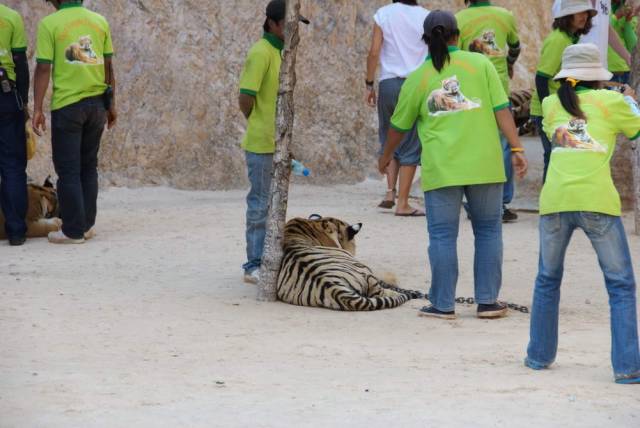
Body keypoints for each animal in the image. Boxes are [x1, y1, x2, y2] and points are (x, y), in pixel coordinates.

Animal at [276, 214, 422, 310]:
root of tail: (336, 289)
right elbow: (389, 284)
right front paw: (416, 292)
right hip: (366, 272)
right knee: (380, 293)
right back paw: (407, 294)